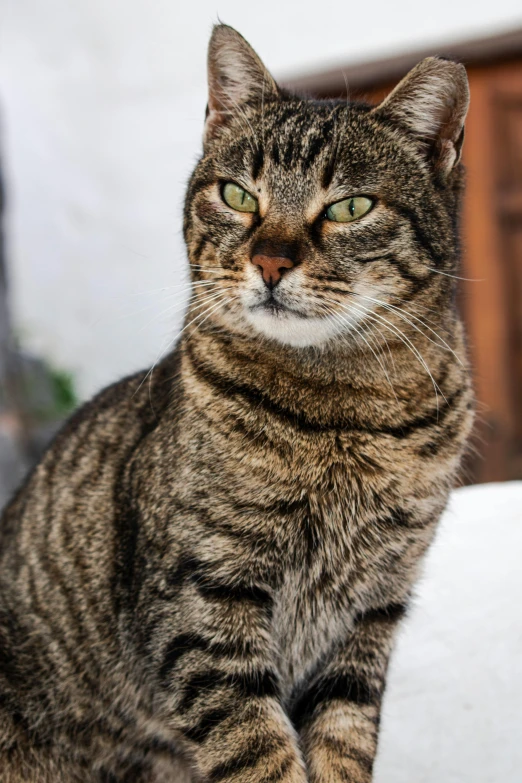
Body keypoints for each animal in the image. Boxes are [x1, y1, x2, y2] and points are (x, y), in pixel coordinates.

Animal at [0, 24, 472, 783]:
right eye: (238, 195)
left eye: (351, 206)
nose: (271, 261)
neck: (346, 410)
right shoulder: (203, 599)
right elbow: (257, 752)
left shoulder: (369, 617)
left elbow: (342, 746)